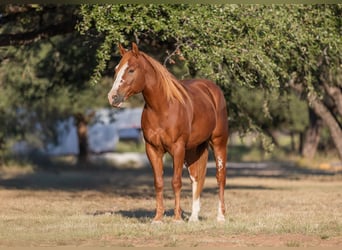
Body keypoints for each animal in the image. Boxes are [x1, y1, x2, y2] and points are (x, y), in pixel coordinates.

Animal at [108, 43, 228, 223]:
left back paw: (220, 216)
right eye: (116, 69)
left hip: (218, 142)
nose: (113, 97)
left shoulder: (177, 149)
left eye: (131, 70)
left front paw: (177, 218)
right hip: (193, 149)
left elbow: (176, 182)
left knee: (220, 177)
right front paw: (158, 218)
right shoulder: (153, 149)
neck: (162, 108)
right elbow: (158, 182)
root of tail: (212, 89)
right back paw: (193, 218)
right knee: (196, 177)